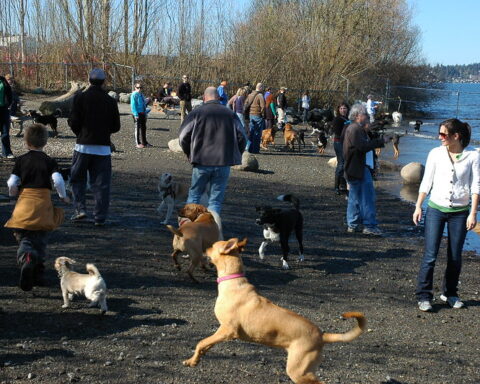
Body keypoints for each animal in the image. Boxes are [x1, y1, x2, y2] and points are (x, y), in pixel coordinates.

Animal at [182, 237, 366, 384]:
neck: (232, 281)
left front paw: (193, 358)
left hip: (298, 371)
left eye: (212, 246)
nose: (203, 248)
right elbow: (206, 345)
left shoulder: (228, 330)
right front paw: (194, 361)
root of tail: (321, 336)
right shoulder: (221, 332)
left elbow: (201, 342)